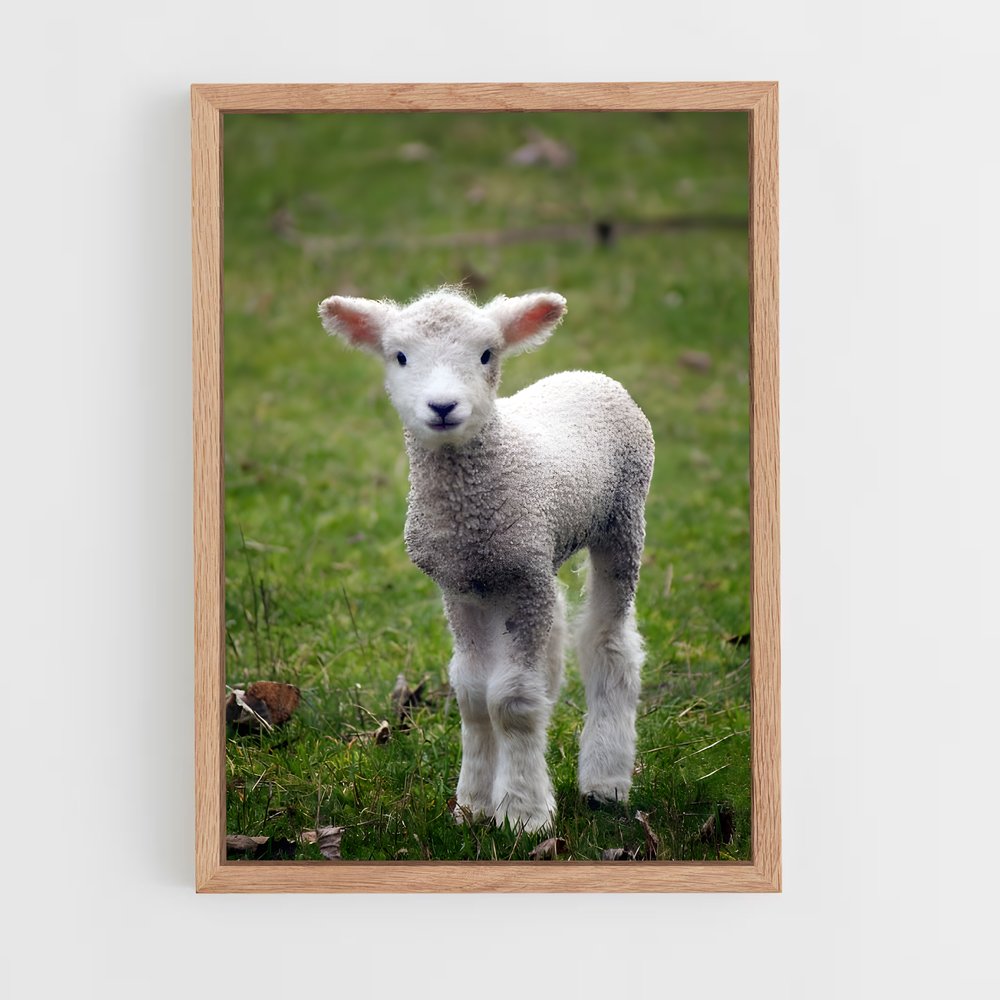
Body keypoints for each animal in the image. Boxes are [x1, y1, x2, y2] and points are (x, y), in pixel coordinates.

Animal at [318, 287, 654, 833]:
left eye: (485, 354)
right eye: (400, 356)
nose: (442, 406)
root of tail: (589, 375)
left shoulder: (522, 581)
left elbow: (512, 702)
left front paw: (522, 813)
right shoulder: (461, 586)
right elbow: (475, 696)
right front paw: (472, 804)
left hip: (622, 518)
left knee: (609, 642)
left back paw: (605, 782)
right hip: (537, 555)